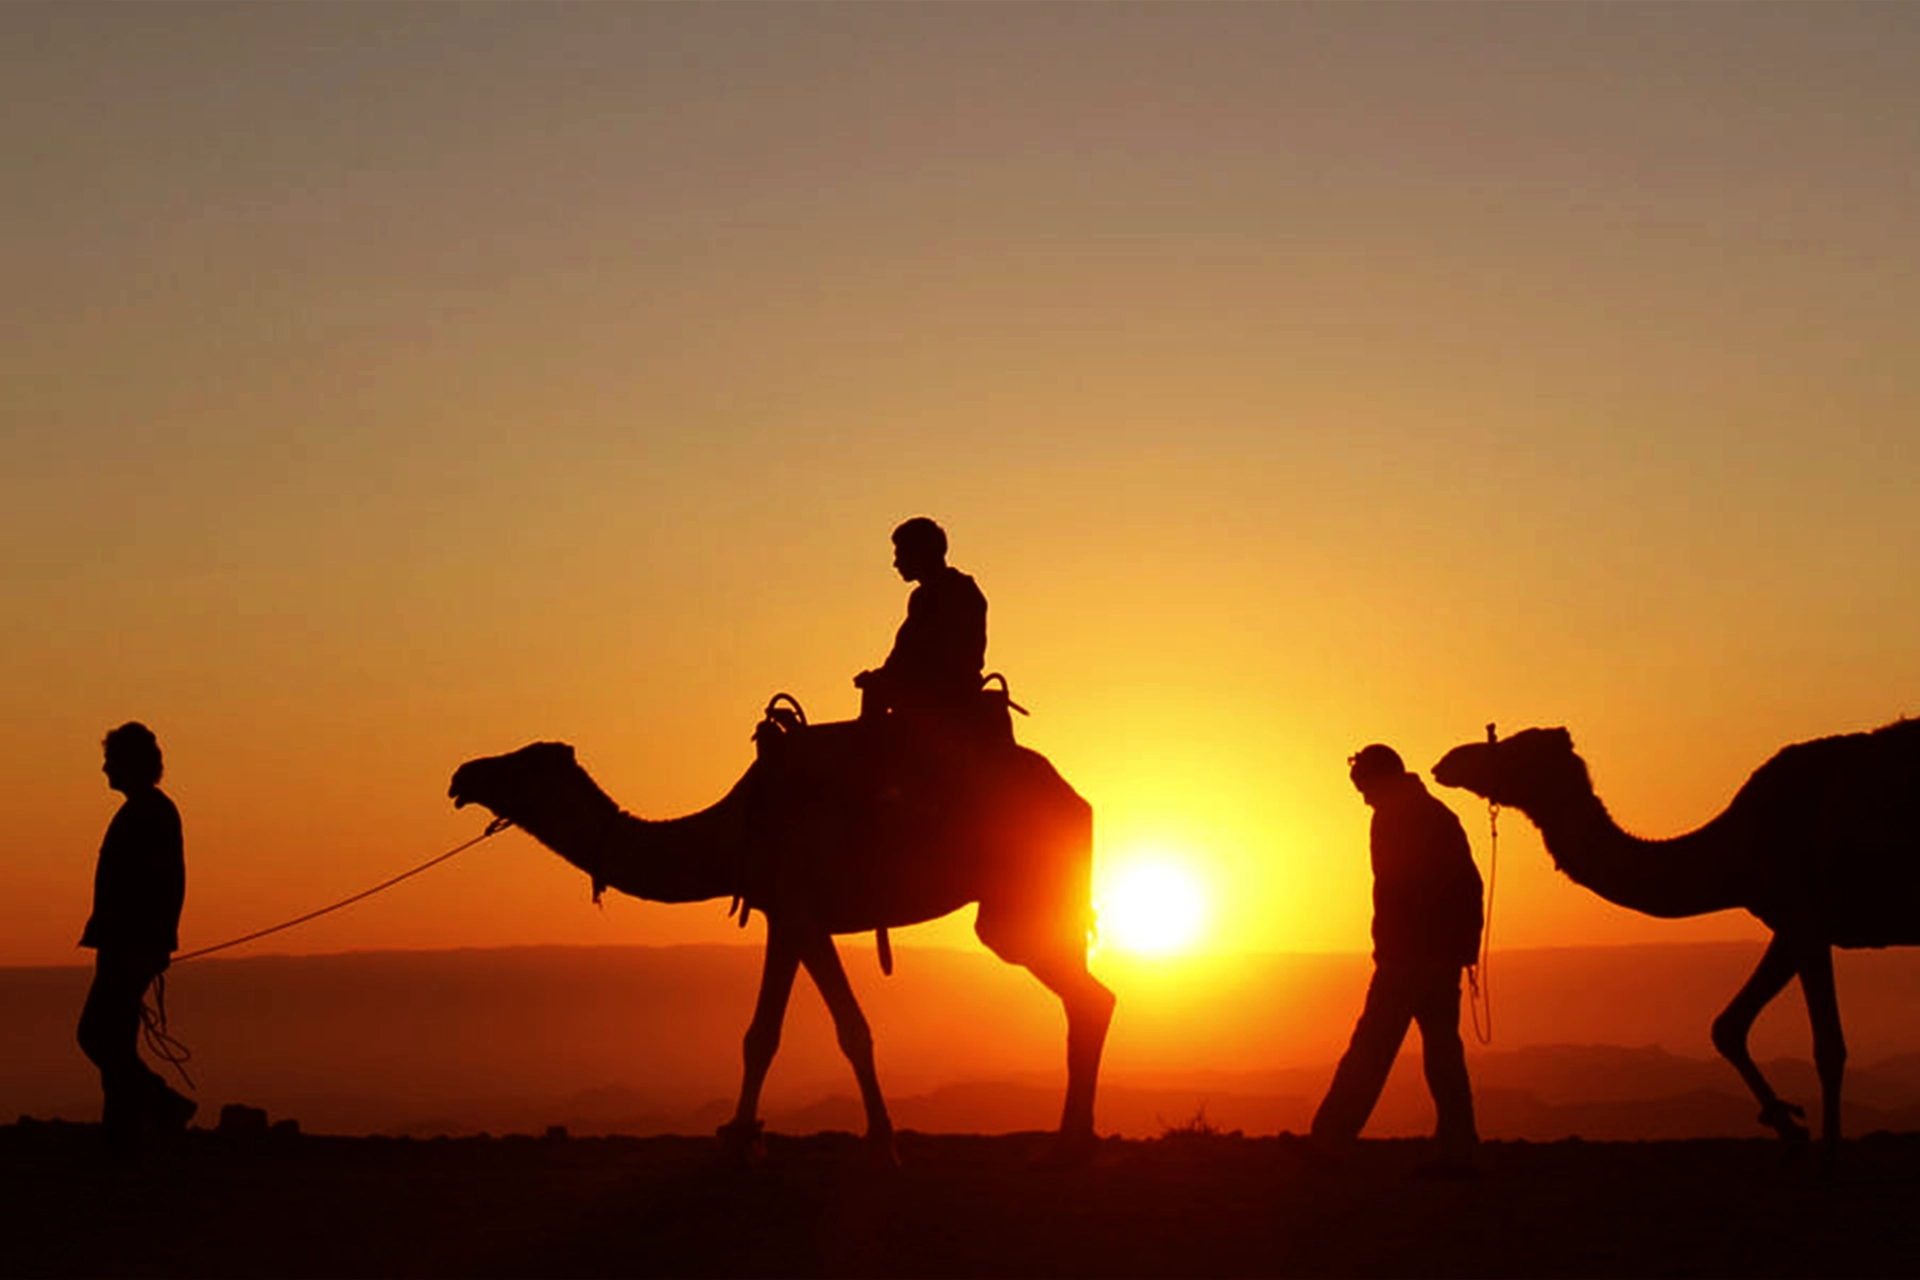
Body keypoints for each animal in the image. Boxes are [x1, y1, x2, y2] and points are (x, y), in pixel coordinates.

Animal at [447, 725, 1113, 1166]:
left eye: (521, 765)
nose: (462, 776)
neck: (729, 832)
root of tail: (1079, 800)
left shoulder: (800, 907)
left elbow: (850, 1028)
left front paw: (882, 1142)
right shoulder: (784, 917)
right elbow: (762, 1034)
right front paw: (741, 1134)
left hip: (1016, 905)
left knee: (1084, 994)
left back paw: (1070, 1142)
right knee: (1089, 999)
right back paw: (1074, 1137)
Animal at [1436, 721, 1920, 1159]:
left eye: (1515, 750)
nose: (1448, 762)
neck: (1734, 852)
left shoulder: (1804, 916)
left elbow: (1829, 1047)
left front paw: (1829, 1151)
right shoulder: (1790, 924)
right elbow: (1728, 1026)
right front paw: (1788, 1124)